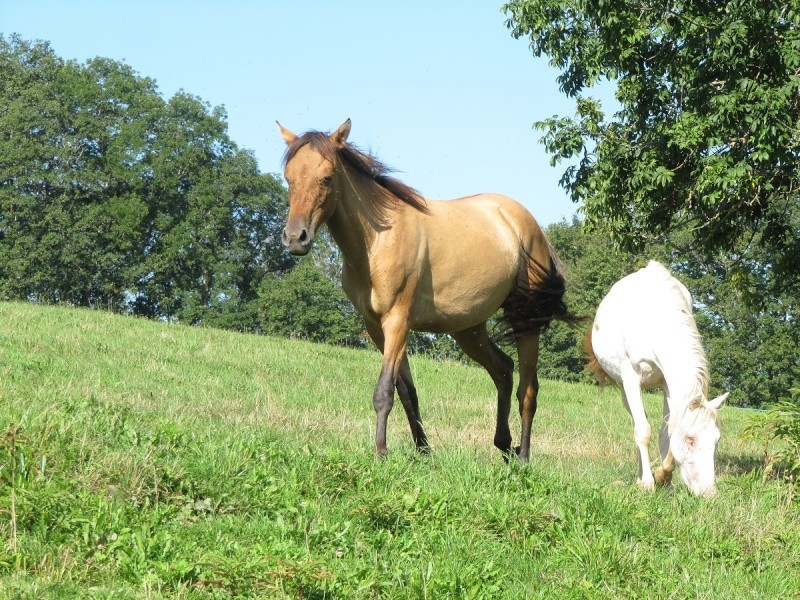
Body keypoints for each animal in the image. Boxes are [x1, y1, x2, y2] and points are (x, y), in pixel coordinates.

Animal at [278, 119, 580, 462]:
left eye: (327, 178)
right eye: (289, 178)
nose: (295, 238)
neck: (377, 241)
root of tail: (529, 225)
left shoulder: (397, 321)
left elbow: (384, 391)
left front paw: (381, 453)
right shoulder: (377, 328)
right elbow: (407, 392)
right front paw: (424, 452)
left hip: (525, 322)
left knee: (527, 391)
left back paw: (524, 457)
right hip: (468, 329)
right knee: (503, 370)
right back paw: (504, 445)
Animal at [584, 262, 728, 496]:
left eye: (716, 439)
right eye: (690, 439)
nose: (709, 492)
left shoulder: (668, 384)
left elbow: (666, 432)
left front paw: (665, 478)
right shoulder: (630, 378)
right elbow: (643, 431)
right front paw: (649, 482)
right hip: (624, 387)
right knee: (637, 423)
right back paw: (641, 477)